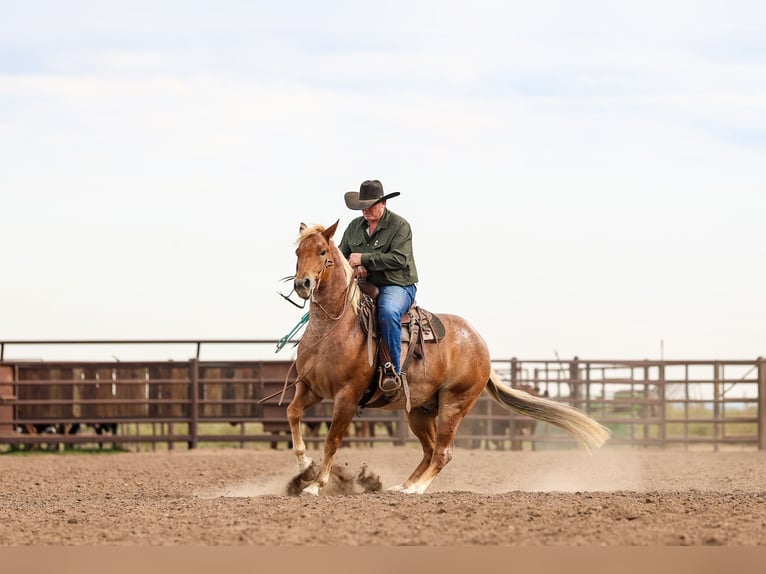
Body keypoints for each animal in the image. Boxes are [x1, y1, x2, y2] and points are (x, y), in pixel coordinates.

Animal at [285, 220, 610, 495]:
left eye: (322, 251)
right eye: (298, 251)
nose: (303, 284)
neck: (336, 327)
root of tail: (480, 344)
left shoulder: (347, 396)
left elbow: (331, 441)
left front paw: (315, 485)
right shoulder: (310, 389)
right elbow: (292, 413)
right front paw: (304, 467)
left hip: (454, 404)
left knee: (443, 452)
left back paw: (416, 489)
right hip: (419, 409)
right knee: (429, 450)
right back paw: (402, 486)